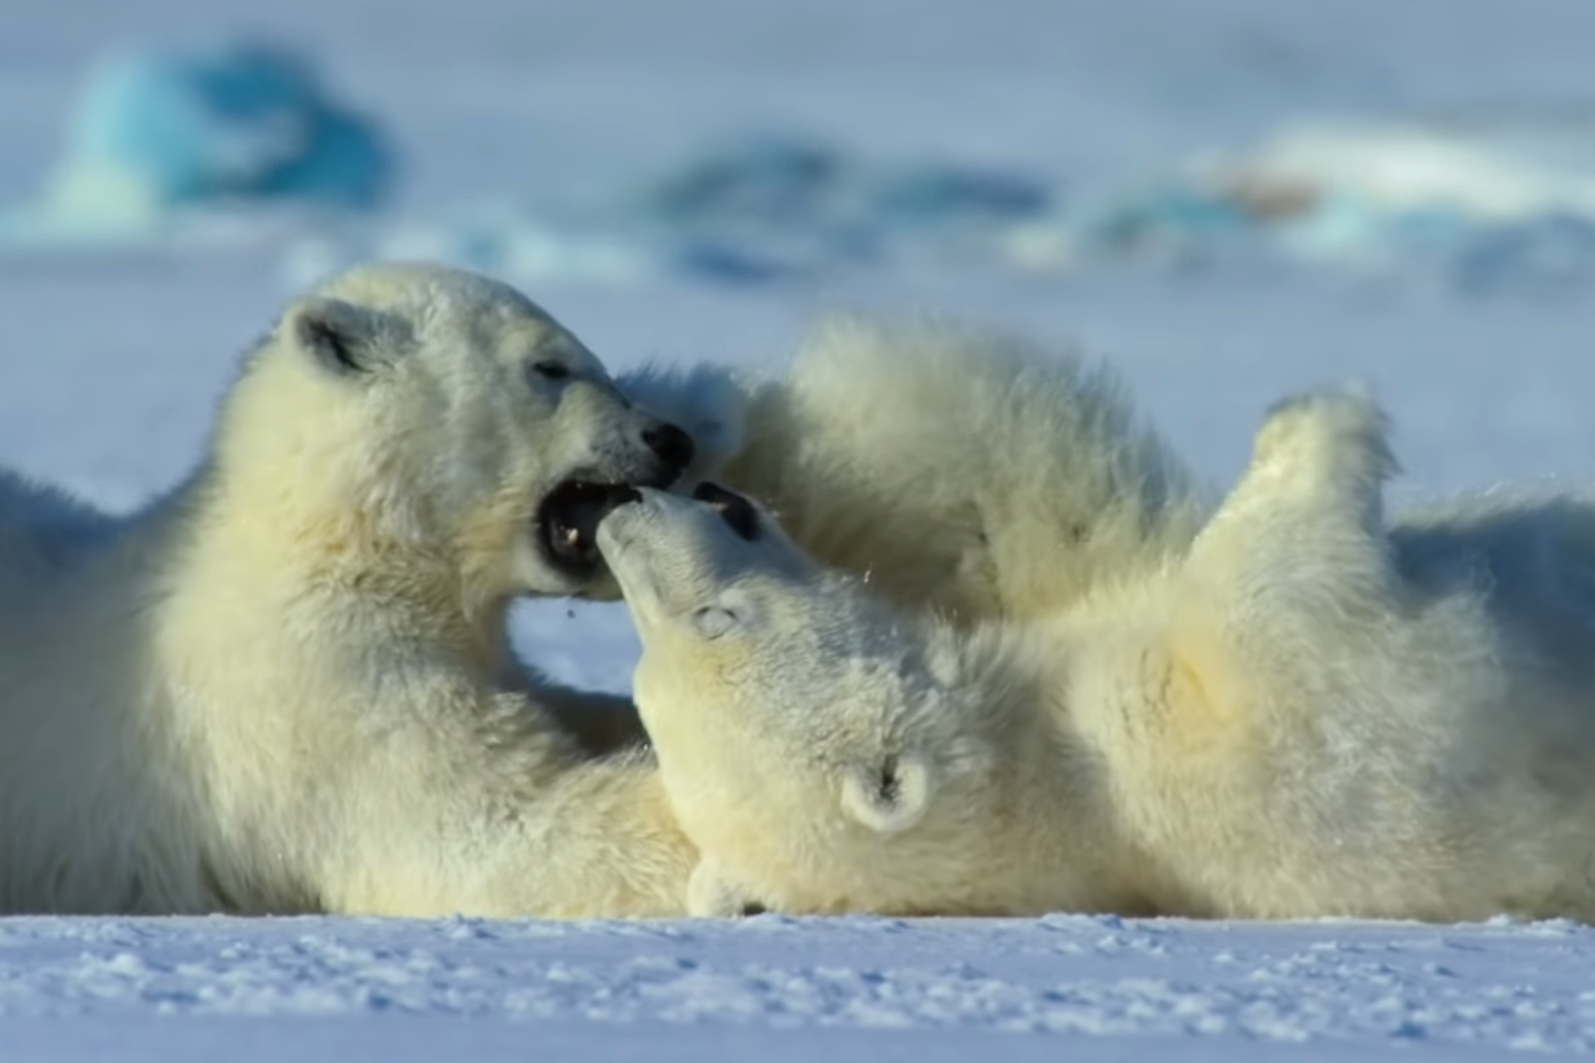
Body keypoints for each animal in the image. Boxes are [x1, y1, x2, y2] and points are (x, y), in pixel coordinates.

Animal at [0, 260, 711, 912]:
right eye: (550, 366)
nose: (670, 438)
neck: (346, 543)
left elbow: (564, 707)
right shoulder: (331, 693)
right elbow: (508, 830)